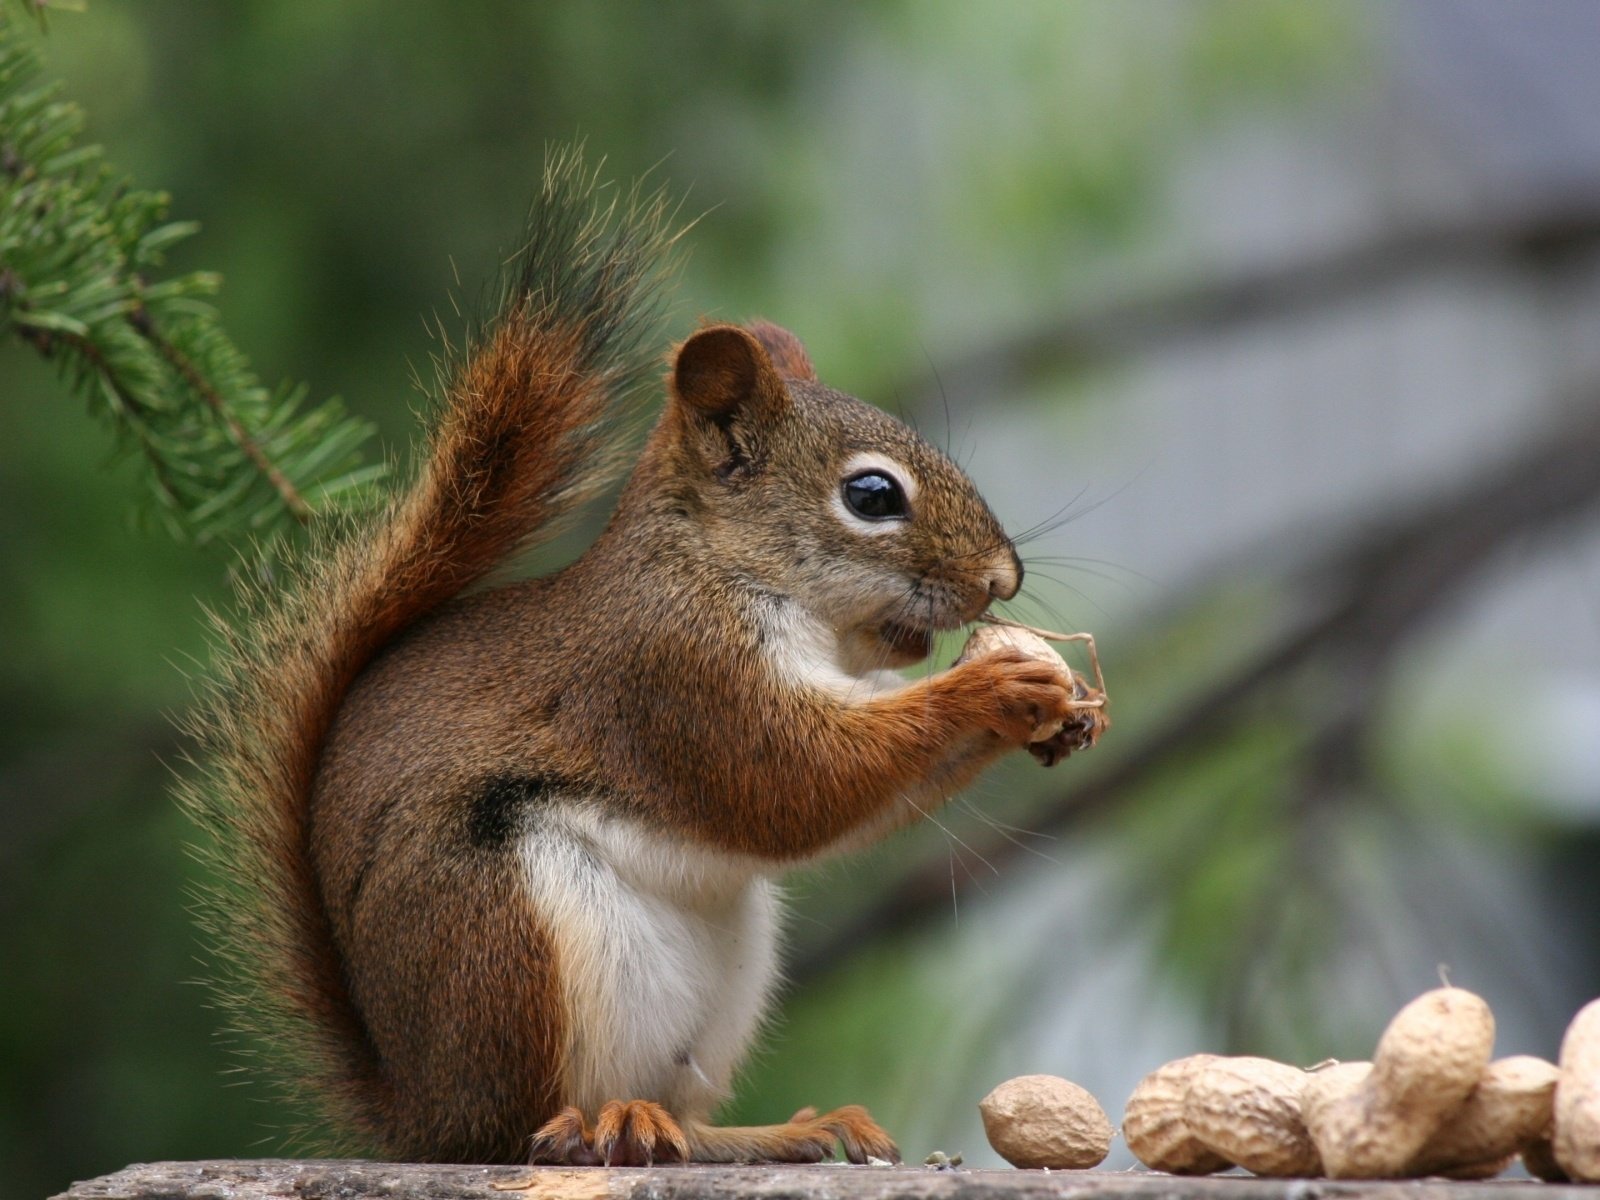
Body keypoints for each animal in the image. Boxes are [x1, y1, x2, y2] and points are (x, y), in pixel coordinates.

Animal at [181, 155, 1107, 1171]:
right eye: (871, 495)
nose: (1003, 578)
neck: (728, 569)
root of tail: (419, 1112)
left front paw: (1059, 712)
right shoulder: (673, 673)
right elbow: (796, 781)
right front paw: (996, 684)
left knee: (681, 1121)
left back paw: (773, 1130)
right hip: (501, 933)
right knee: (516, 1128)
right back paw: (589, 1127)